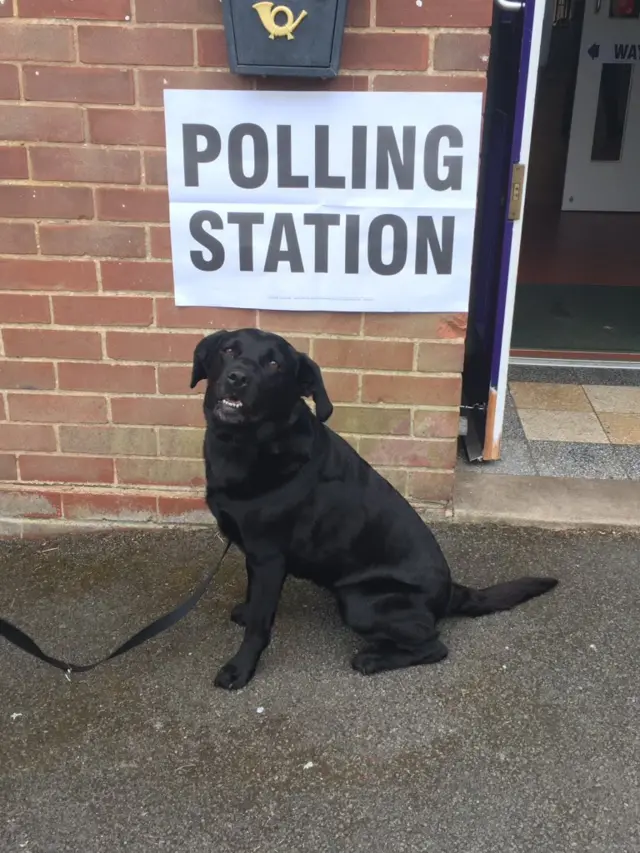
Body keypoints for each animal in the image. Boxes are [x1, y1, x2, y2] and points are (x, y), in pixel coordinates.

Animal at [192, 330, 556, 688]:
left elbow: (260, 625)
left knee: (435, 645)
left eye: (273, 364)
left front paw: (240, 669)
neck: (246, 445)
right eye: (228, 350)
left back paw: (372, 659)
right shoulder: (254, 555)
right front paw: (245, 612)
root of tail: (449, 592)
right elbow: (254, 598)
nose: (237, 377)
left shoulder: (268, 557)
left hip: (360, 602)